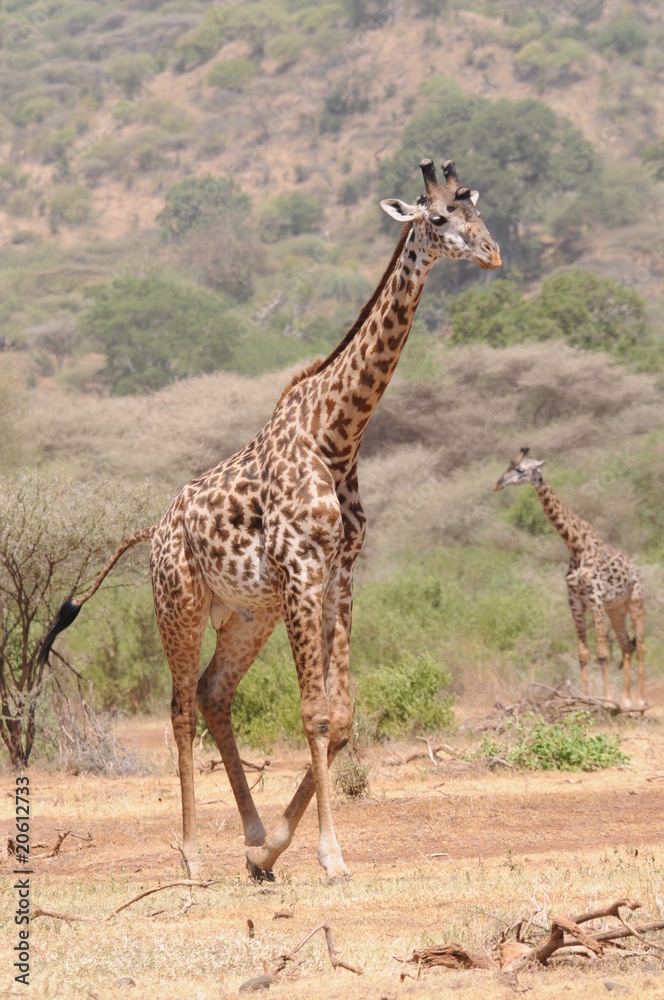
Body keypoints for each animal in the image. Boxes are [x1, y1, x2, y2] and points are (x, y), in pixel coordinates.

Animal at [40, 158, 502, 882]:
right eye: (437, 217)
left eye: (477, 210)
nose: (492, 253)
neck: (337, 434)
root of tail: (153, 530)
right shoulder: (302, 569)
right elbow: (315, 716)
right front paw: (330, 857)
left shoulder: (339, 573)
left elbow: (342, 717)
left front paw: (275, 847)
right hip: (178, 604)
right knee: (179, 706)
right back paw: (192, 856)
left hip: (248, 615)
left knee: (212, 693)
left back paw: (254, 840)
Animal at [494, 448, 646, 707]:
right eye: (509, 466)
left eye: (521, 470)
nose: (497, 484)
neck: (575, 547)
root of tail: (638, 571)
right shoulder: (575, 602)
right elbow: (583, 655)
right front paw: (584, 698)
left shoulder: (595, 600)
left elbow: (602, 654)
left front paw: (606, 700)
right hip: (616, 608)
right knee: (627, 644)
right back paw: (626, 700)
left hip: (635, 601)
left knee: (642, 646)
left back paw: (640, 700)